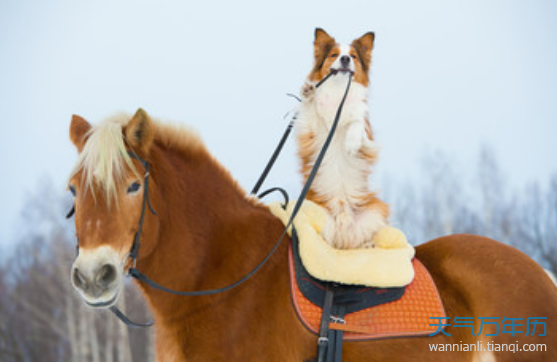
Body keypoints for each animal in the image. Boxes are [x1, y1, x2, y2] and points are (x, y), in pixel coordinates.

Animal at [294, 27, 388, 249]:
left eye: (353, 56)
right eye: (334, 54)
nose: (345, 59)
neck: (338, 93)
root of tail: (342, 223)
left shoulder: (367, 134)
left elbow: (356, 123)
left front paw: (351, 143)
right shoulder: (312, 130)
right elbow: (309, 110)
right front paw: (308, 91)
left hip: (376, 209)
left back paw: (368, 245)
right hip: (311, 211)